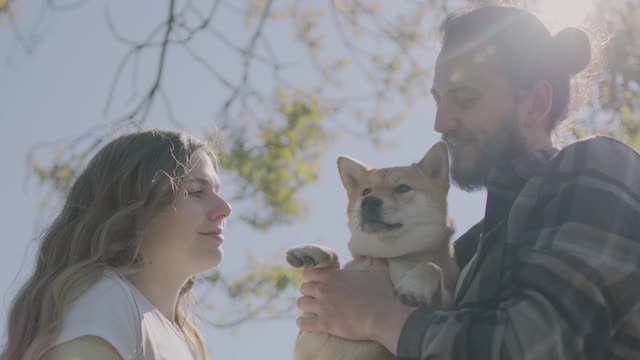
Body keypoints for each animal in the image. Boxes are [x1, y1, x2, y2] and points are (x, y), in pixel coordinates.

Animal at [286, 141, 460, 360]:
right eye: (365, 192)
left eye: (403, 188)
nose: (369, 201)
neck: (391, 256)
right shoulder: (310, 334)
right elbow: (336, 261)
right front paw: (312, 251)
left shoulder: (446, 301)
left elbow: (431, 267)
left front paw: (415, 288)